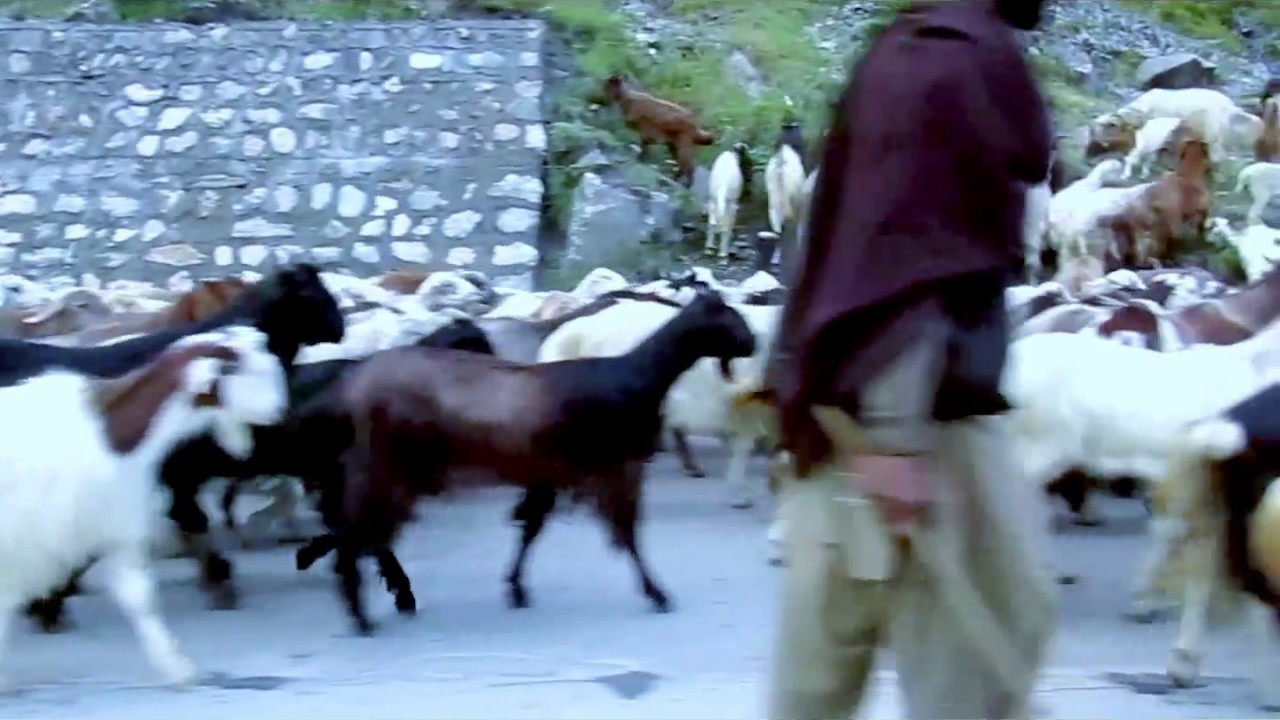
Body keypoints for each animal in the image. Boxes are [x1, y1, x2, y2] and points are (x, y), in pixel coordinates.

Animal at [0, 326, 288, 688]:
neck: (116, 434)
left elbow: (139, 598)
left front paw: (179, 667)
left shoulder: (115, 530)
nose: (281, 412)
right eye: (248, 371)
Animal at [318, 289, 755, 634]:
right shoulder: (614, 468)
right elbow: (627, 533)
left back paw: (386, 597)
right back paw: (362, 612)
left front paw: (515, 588)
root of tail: (352, 389)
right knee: (358, 531)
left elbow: (532, 528)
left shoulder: (552, 472)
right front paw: (657, 593)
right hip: (385, 465)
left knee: (366, 531)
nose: (752, 343)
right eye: (728, 315)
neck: (633, 379)